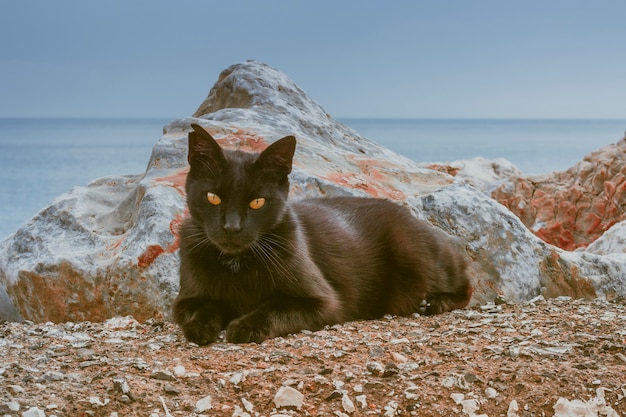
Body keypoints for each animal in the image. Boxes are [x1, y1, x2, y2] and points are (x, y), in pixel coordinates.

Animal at [173, 123, 470, 344]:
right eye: (213, 198)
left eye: (257, 202)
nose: (232, 228)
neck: (237, 263)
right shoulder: (186, 298)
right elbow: (199, 308)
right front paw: (200, 327)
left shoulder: (324, 302)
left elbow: (275, 307)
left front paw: (244, 326)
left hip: (412, 251)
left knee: (464, 280)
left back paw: (434, 303)